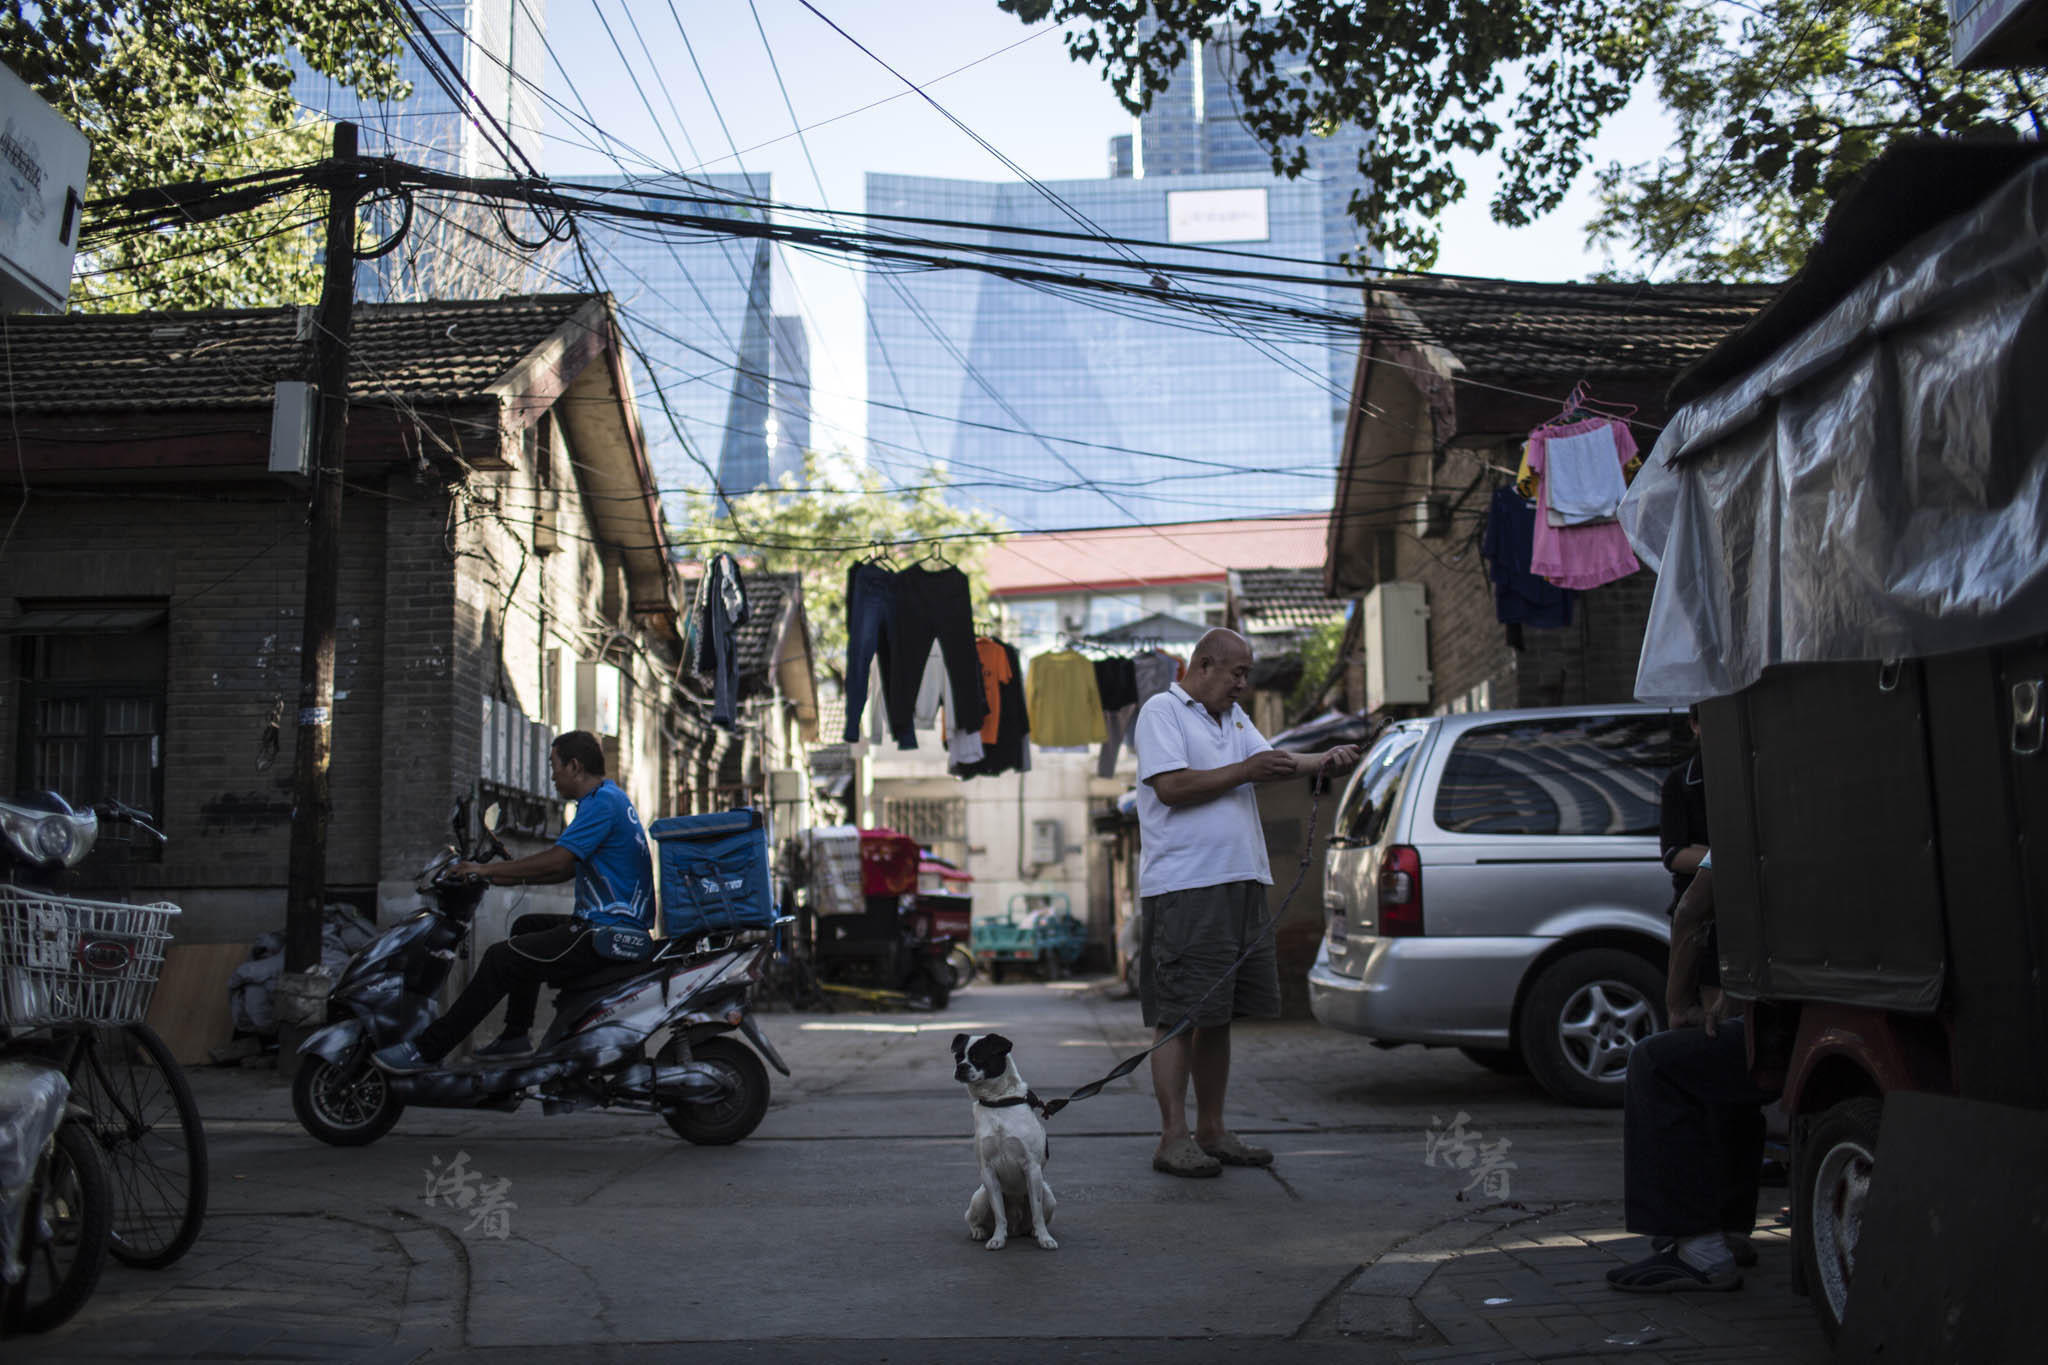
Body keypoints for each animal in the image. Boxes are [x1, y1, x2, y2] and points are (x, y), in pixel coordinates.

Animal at [954, 1035, 1064, 1252]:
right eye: (957, 1057)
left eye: (978, 1057)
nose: (960, 1067)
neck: (997, 1102)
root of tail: (1016, 1228)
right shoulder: (987, 1171)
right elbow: (999, 1215)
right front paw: (997, 1239)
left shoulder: (1032, 1168)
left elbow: (1037, 1213)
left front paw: (1045, 1238)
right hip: (980, 1198)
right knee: (972, 1218)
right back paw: (979, 1231)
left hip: (1048, 1196)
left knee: (1036, 1216)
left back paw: (1034, 1232)